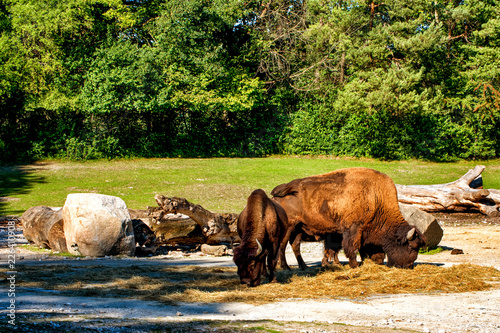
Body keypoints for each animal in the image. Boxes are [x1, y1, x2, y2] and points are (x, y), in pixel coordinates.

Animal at [274, 167, 426, 268]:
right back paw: (285, 267)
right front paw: (354, 265)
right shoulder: (353, 229)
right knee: (282, 246)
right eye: (411, 247)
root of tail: (282, 189)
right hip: (289, 227)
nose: (409, 265)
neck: (375, 197)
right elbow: (352, 247)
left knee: (295, 246)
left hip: (298, 228)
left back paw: (303, 266)